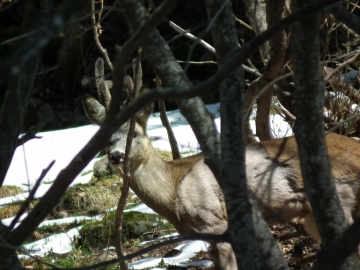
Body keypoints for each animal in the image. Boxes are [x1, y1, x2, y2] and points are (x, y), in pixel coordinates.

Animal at [83, 58, 360, 268]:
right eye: (104, 139)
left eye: (134, 135)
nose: (115, 156)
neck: (174, 192)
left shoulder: (216, 222)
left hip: (339, 194)